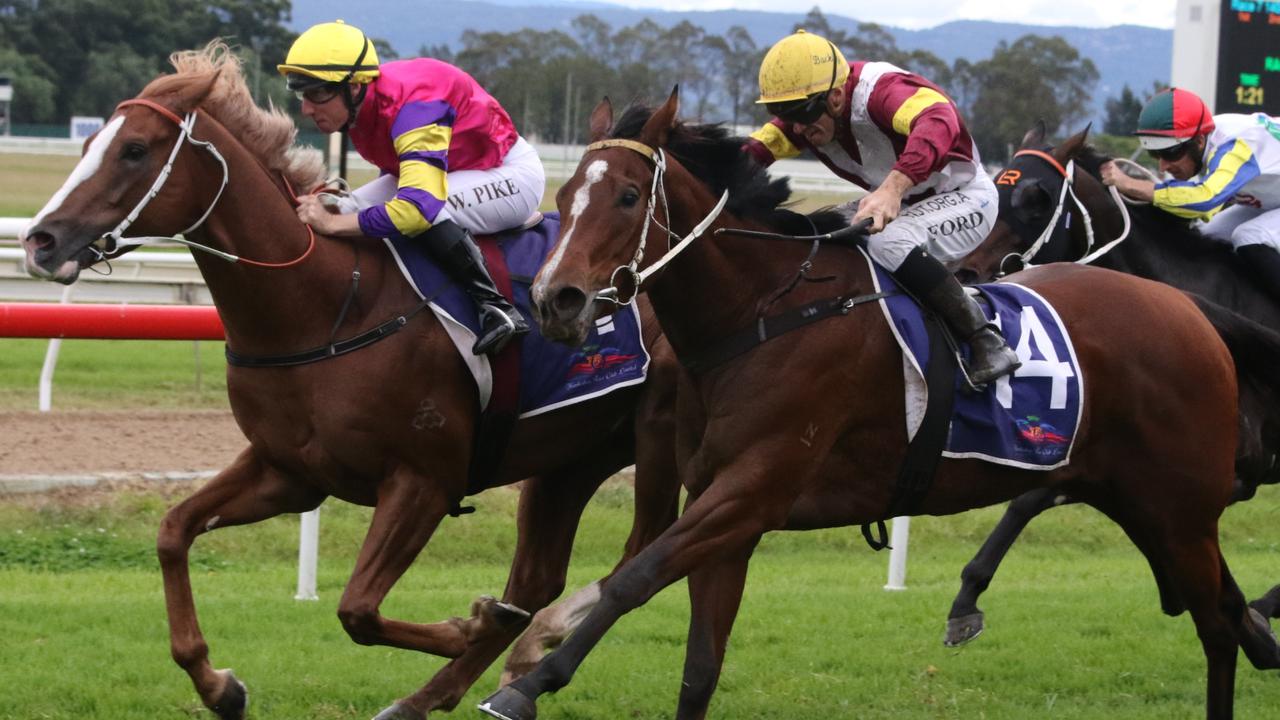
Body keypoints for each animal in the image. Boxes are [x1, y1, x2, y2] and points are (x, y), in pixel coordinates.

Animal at [20, 46, 686, 717]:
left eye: (134, 150)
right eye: (89, 145)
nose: (41, 241)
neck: (324, 305)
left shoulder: (423, 481)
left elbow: (357, 609)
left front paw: (467, 625)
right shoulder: (289, 471)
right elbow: (172, 531)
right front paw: (218, 684)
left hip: (659, 436)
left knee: (646, 550)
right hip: (572, 455)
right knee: (539, 576)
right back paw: (465, 678)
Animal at [942, 121, 1280, 645]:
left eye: (1037, 197)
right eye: (997, 187)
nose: (965, 270)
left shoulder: (1231, 472)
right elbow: (1032, 498)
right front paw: (967, 596)